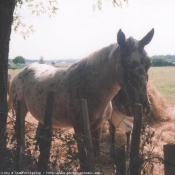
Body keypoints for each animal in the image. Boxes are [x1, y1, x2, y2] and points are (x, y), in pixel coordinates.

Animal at [8, 29, 154, 171]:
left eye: (148, 63)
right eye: (124, 62)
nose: (144, 106)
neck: (90, 88)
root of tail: (23, 71)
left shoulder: (97, 128)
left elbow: (95, 155)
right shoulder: (79, 131)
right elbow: (84, 161)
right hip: (20, 110)